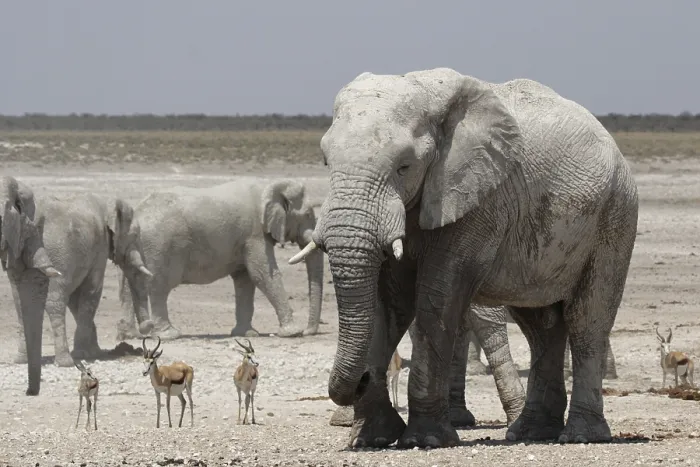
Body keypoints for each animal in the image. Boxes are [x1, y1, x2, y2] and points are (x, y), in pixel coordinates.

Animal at [1, 176, 154, 395]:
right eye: (134, 235)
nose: (148, 326)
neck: (108, 202)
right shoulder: (99, 247)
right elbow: (91, 291)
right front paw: (85, 353)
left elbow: (75, 300)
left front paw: (93, 351)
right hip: (57, 250)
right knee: (55, 302)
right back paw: (66, 361)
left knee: (21, 304)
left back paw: (22, 360)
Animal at [116, 178, 323, 341]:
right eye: (307, 214)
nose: (308, 331)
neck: (269, 186)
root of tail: (138, 213)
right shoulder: (255, 234)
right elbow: (263, 275)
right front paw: (292, 333)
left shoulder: (245, 239)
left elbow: (245, 280)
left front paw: (246, 334)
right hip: (159, 245)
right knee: (158, 286)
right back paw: (169, 335)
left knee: (130, 284)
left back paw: (131, 335)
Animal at [290, 68, 639, 448]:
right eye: (326, 161)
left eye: (404, 166)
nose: (363, 379)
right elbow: (388, 301)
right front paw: (372, 438)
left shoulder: (476, 199)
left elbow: (436, 298)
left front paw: (425, 440)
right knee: (540, 326)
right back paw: (530, 432)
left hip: (616, 215)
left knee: (587, 319)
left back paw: (580, 436)